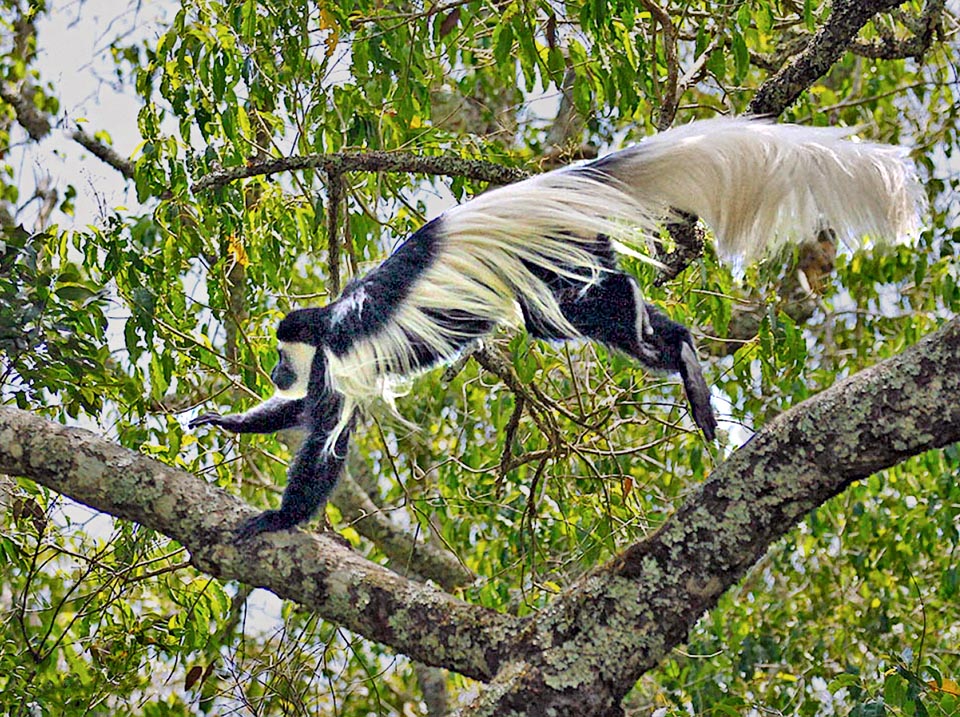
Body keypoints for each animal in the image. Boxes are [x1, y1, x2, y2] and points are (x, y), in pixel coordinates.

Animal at [189, 116, 924, 536]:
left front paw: (278, 518)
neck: (328, 320)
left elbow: (327, 436)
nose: (273, 370)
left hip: (558, 250)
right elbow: (299, 413)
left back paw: (665, 341)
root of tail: (551, 185)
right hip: (561, 253)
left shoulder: (341, 354)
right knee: (584, 311)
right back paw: (685, 361)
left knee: (603, 296)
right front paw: (227, 421)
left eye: (281, 355)